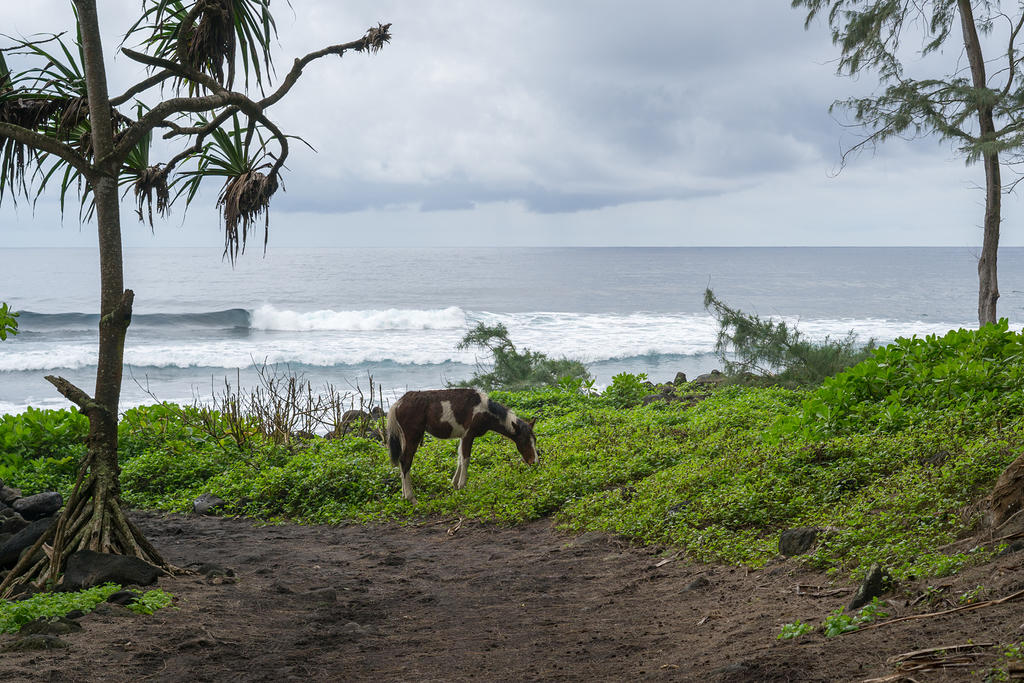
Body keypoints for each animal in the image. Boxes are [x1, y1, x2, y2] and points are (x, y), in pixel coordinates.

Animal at [385, 389, 540, 501]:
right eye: (524, 441)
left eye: (534, 441)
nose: (535, 462)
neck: (484, 410)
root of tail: (398, 403)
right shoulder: (468, 435)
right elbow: (466, 459)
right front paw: (462, 485)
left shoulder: (462, 437)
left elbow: (459, 458)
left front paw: (454, 484)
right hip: (413, 436)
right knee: (405, 461)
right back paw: (411, 497)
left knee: (402, 461)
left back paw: (404, 495)